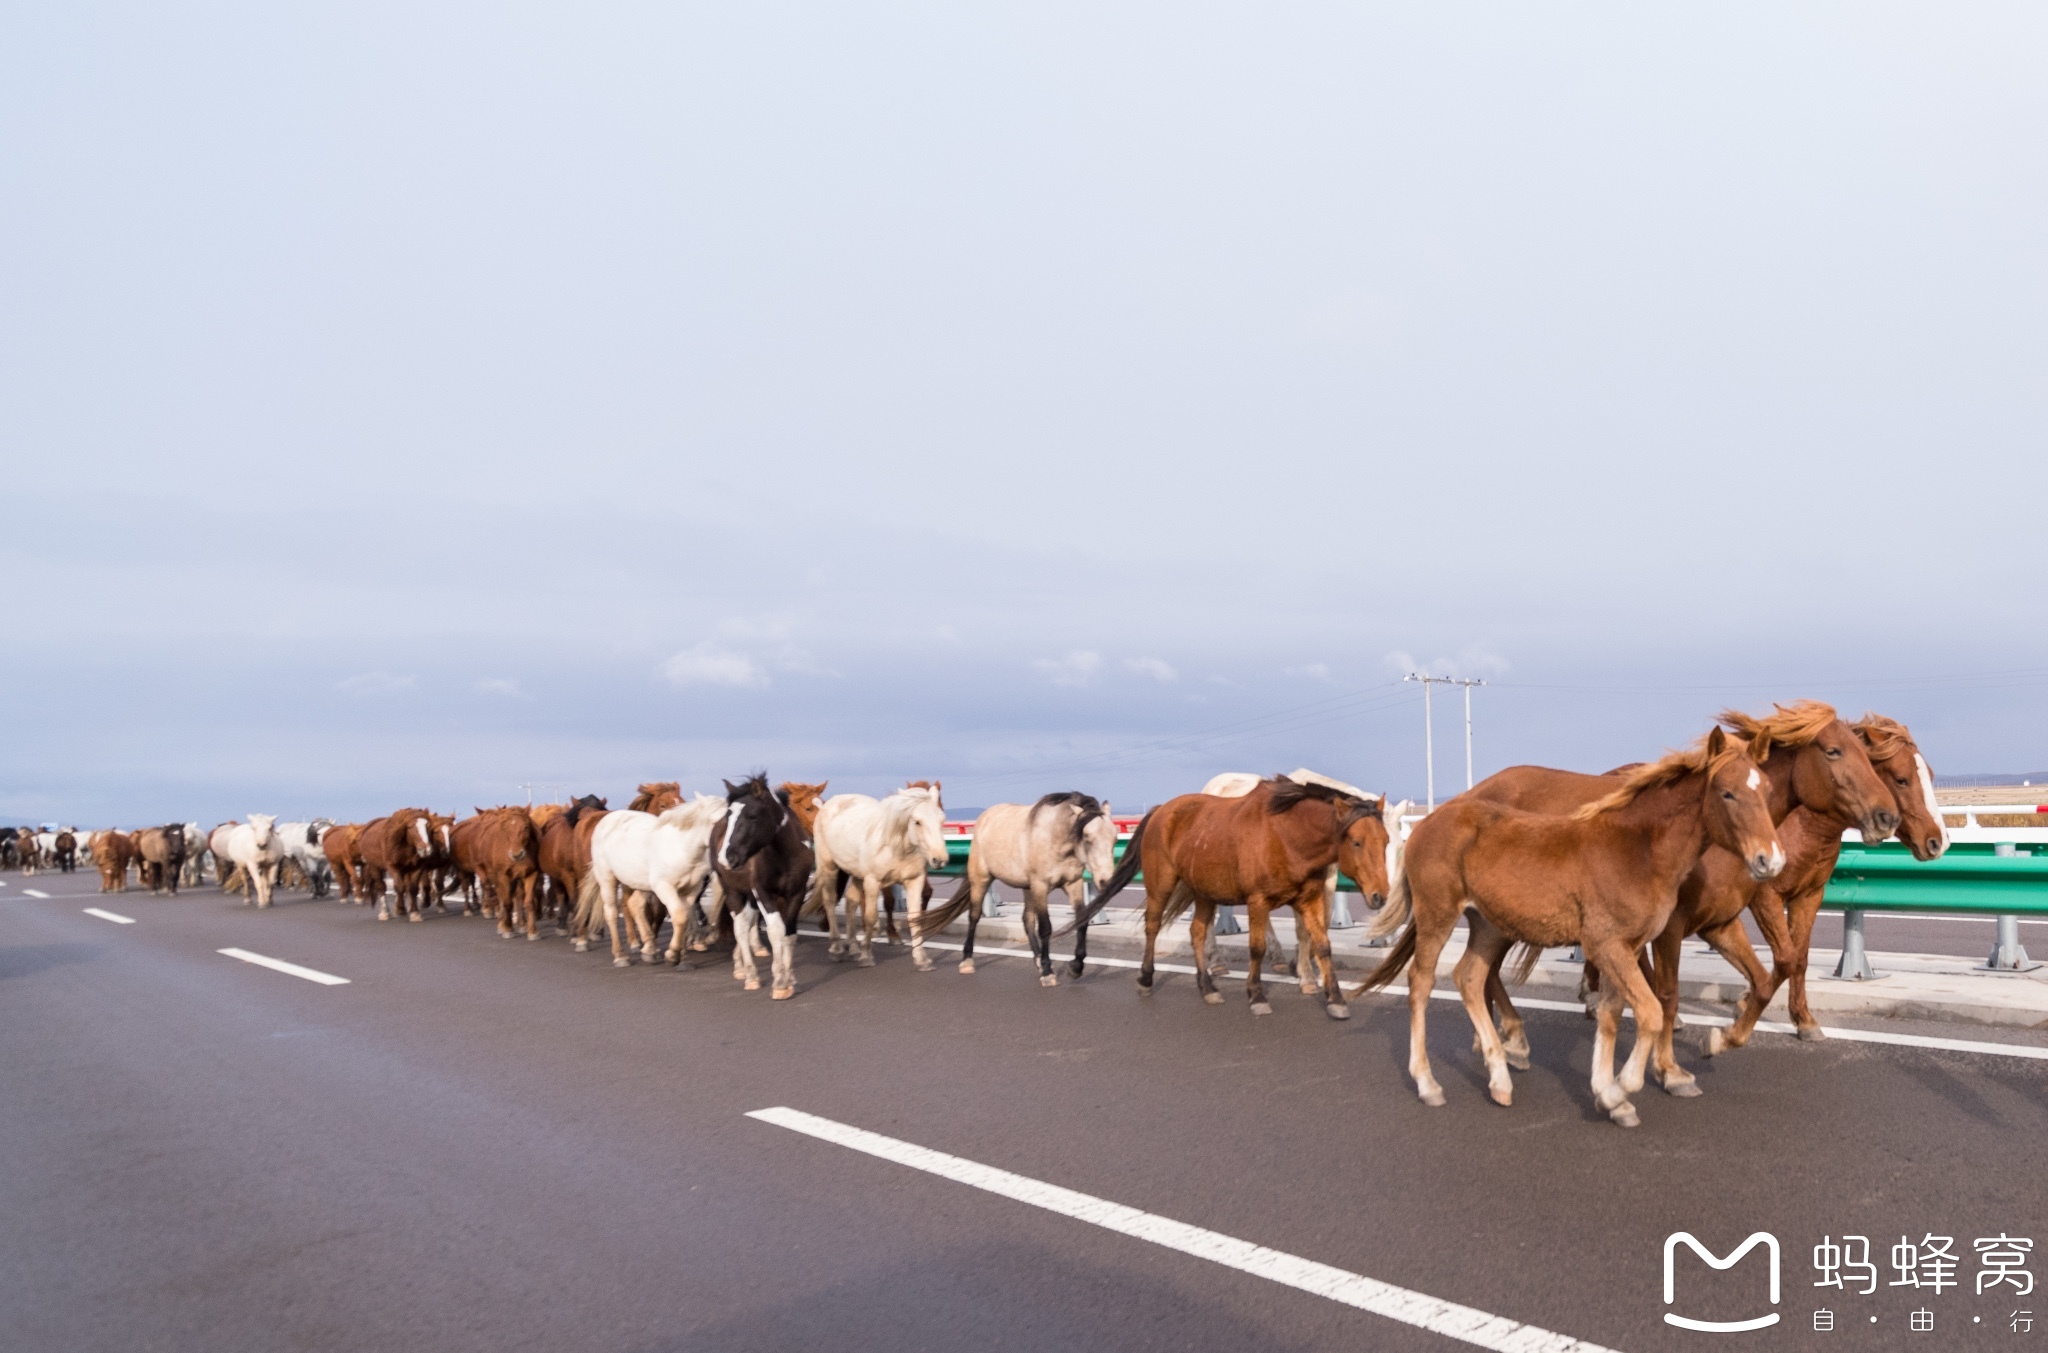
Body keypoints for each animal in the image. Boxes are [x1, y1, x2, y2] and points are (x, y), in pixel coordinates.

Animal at [577, 798, 729, 966]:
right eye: (717, 822)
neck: (682, 848)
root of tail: (605, 819)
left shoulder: (692, 889)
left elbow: (684, 916)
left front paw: (681, 955)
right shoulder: (664, 887)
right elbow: (680, 915)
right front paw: (673, 954)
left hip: (643, 884)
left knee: (635, 904)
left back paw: (649, 949)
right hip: (607, 878)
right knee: (611, 913)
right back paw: (620, 956)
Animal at [811, 786, 946, 966]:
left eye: (941, 820)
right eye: (917, 822)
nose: (940, 859)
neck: (898, 847)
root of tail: (827, 804)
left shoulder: (914, 880)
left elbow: (914, 917)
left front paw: (921, 959)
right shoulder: (872, 881)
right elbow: (870, 916)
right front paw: (866, 955)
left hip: (856, 873)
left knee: (851, 902)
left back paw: (853, 948)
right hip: (828, 866)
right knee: (830, 900)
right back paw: (837, 948)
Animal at [1073, 769, 1392, 1015]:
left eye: (1387, 840)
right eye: (1356, 842)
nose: (1381, 895)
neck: (1288, 836)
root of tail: (1160, 810)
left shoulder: (1309, 899)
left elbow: (1323, 945)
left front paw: (1335, 999)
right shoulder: (1257, 901)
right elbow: (1257, 948)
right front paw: (1257, 996)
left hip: (1202, 891)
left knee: (1197, 933)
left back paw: (1207, 987)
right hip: (1160, 885)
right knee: (1152, 926)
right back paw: (1146, 980)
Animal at [1359, 728, 1777, 1129]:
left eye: (1768, 790)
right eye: (1727, 793)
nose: (1770, 860)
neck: (1638, 850)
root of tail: (1426, 823)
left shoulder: (1626, 947)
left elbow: (1611, 1014)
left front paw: (1610, 1096)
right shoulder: (1607, 945)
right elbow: (1651, 1012)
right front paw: (1621, 1090)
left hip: (1489, 926)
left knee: (1470, 977)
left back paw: (1500, 1079)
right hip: (1438, 914)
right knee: (1421, 981)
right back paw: (1428, 1083)